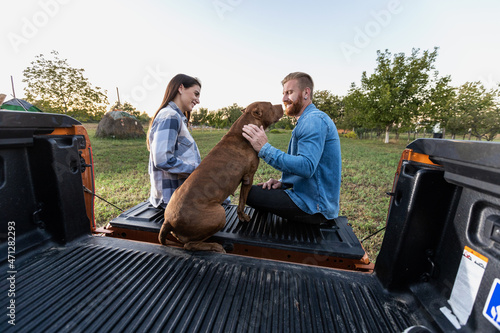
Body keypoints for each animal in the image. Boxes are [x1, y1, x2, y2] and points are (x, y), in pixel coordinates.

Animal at [158, 101, 284, 252]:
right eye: (270, 105)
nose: (282, 104)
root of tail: (168, 221)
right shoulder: (248, 178)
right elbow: (242, 202)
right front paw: (243, 217)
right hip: (219, 213)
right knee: (190, 245)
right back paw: (215, 246)